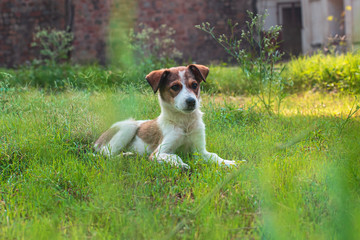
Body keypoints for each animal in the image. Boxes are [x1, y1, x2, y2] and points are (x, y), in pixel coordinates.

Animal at [94, 63, 238, 169]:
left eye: (194, 85)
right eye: (175, 87)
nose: (191, 101)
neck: (184, 124)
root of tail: (96, 141)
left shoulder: (200, 151)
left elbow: (214, 156)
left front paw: (230, 163)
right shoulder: (157, 153)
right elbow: (174, 156)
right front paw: (181, 165)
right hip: (129, 126)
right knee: (105, 155)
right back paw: (125, 156)